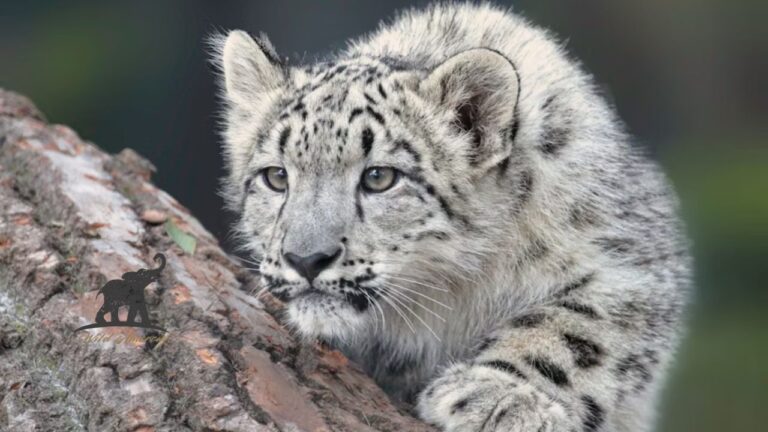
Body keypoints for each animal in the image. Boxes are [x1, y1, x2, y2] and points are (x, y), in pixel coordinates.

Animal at [211, 3, 691, 431]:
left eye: (380, 177)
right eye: (276, 176)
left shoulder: (629, 259)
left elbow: (578, 326)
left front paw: (500, 397)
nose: (306, 259)